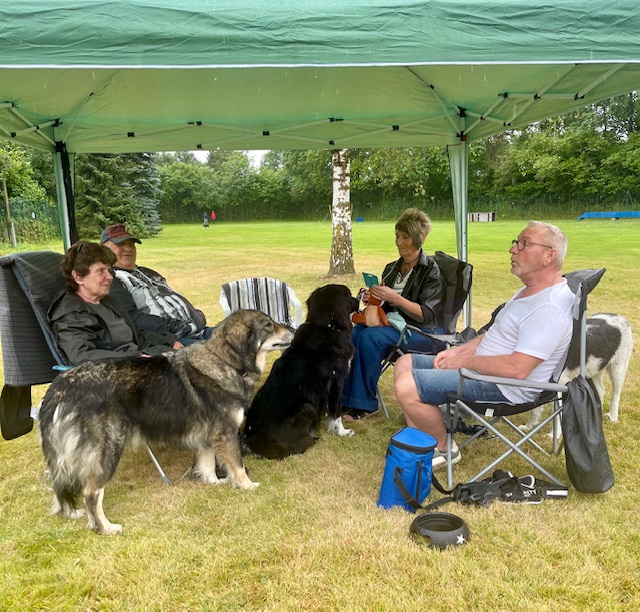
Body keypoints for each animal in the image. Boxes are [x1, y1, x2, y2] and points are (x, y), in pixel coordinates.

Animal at [38, 309, 293, 535]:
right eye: (268, 325)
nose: (292, 329)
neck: (224, 362)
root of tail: (60, 386)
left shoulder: (209, 436)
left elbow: (208, 463)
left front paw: (213, 482)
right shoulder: (226, 433)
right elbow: (237, 465)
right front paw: (247, 485)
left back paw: (72, 513)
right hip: (107, 451)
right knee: (90, 493)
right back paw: (105, 528)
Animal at [244, 284, 359, 459]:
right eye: (349, 295)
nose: (359, 300)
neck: (326, 327)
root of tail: (253, 438)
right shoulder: (336, 381)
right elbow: (336, 410)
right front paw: (342, 432)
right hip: (306, 406)